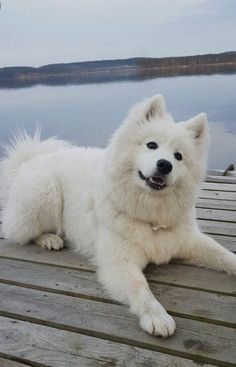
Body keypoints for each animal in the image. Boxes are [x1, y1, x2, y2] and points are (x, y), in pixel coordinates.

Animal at [0, 94, 236, 336]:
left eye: (178, 156)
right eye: (152, 145)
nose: (165, 165)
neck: (152, 215)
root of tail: (30, 160)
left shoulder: (188, 241)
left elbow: (223, 254)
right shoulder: (119, 262)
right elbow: (140, 287)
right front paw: (157, 316)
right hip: (44, 193)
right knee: (18, 232)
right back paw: (50, 239)